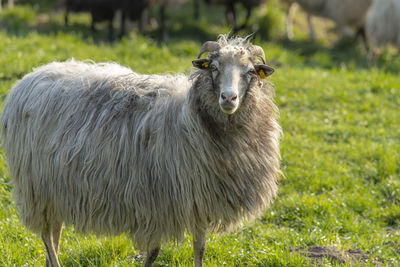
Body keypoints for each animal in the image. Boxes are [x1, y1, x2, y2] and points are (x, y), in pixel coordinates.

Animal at [0, 34, 282, 266]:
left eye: (250, 71)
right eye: (213, 68)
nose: (228, 98)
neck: (193, 119)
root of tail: (30, 77)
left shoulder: (198, 199)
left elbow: (199, 248)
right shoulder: (156, 201)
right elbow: (154, 252)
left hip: (55, 187)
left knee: (54, 233)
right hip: (35, 187)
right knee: (46, 236)